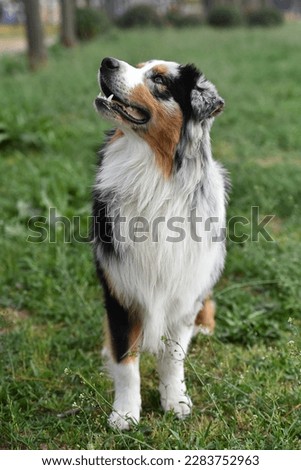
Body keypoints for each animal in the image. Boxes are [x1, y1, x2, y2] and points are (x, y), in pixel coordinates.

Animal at [91, 57, 227, 430]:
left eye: (161, 81)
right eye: (138, 66)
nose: (107, 61)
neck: (151, 173)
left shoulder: (184, 287)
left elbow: (172, 357)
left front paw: (175, 400)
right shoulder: (120, 288)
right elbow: (126, 362)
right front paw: (125, 413)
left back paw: (205, 327)